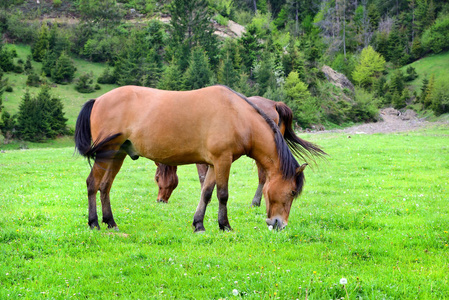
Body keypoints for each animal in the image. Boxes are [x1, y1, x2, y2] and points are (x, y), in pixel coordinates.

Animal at [154, 96, 322, 206]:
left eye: (156, 178)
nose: (160, 200)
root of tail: (275, 104)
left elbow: (203, 178)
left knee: (263, 177)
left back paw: (256, 201)